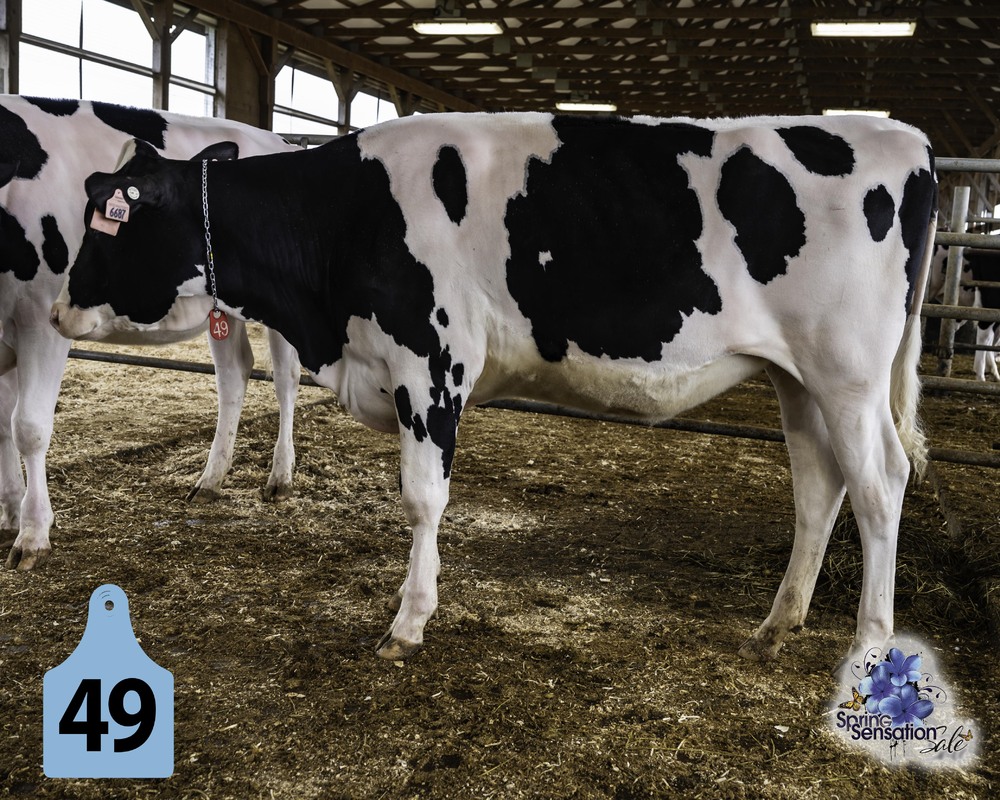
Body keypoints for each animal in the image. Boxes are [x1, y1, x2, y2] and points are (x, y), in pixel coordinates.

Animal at [0, 95, 303, 570]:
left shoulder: (39, 319)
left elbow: (27, 425)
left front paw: (32, 534)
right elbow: (2, 423)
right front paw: (12, 512)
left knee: (285, 379)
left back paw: (280, 476)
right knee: (234, 372)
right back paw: (211, 478)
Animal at [51, 112, 938, 665]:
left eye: (112, 218)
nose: (59, 308)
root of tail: (903, 139)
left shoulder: (430, 362)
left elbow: (422, 498)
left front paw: (408, 622)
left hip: (849, 374)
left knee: (880, 486)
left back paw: (869, 644)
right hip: (799, 378)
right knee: (820, 487)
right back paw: (777, 623)